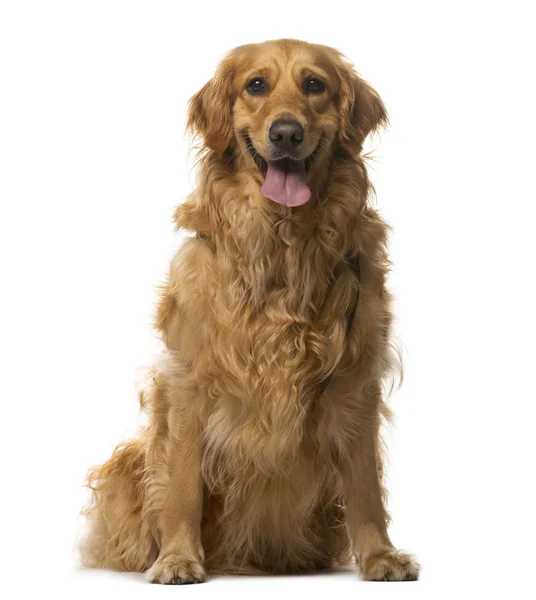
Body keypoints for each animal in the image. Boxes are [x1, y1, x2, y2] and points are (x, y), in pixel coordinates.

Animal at [80, 37, 418, 580]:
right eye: (255, 85)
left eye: (314, 84)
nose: (286, 132)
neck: (283, 242)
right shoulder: (190, 382)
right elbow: (182, 486)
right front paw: (178, 557)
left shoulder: (356, 380)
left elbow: (366, 486)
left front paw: (380, 556)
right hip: (127, 461)